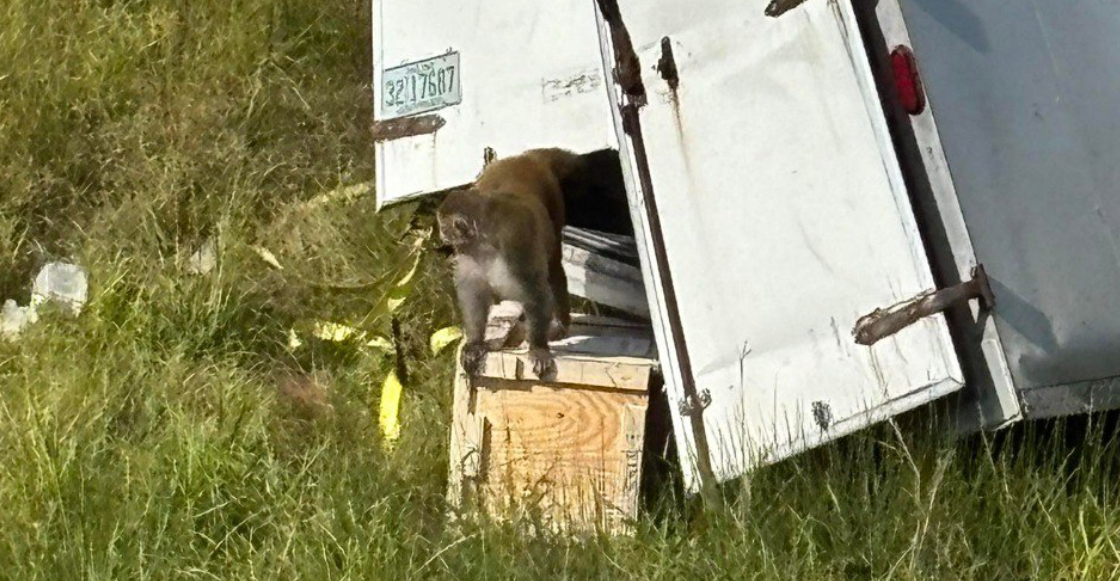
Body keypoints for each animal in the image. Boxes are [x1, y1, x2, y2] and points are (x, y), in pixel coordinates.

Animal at [437, 148, 580, 378]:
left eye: (444, 226)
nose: (441, 234)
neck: (485, 239)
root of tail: (525, 157)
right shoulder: (469, 253)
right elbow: (473, 293)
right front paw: (475, 343)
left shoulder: (515, 241)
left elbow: (535, 290)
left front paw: (538, 347)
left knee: (553, 267)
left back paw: (560, 323)